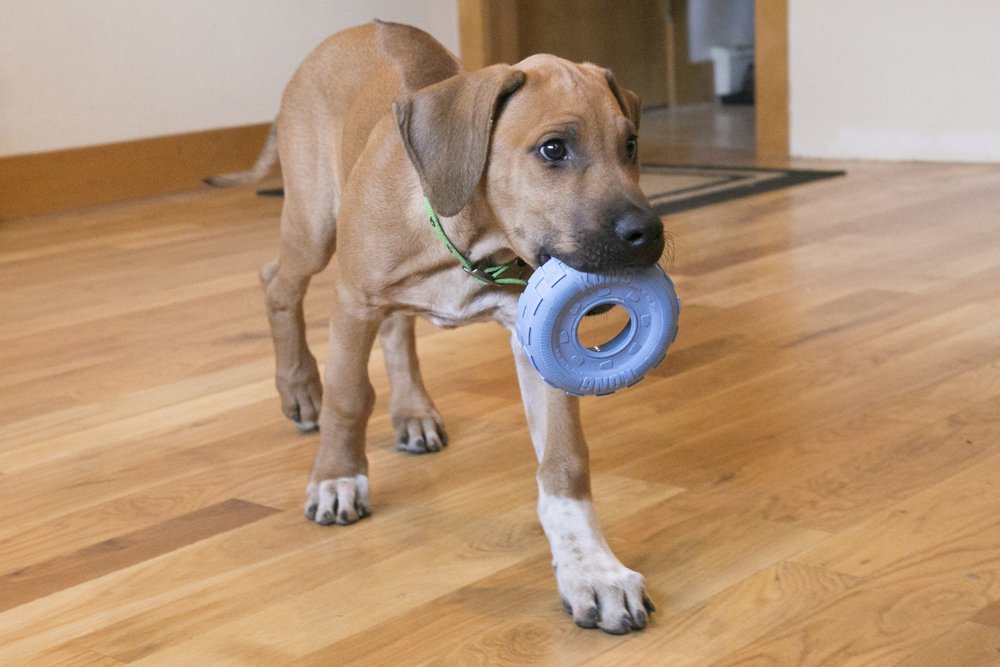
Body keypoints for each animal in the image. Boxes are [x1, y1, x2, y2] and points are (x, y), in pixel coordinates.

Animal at [211, 20, 664, 636]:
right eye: (553, 149)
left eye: (631, 146)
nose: (649, 234)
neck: (467, 237)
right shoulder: (353, 301)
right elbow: (349, 398)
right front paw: (336, 477)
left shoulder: (534, 340)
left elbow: (565, 460)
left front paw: (593, 569)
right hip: (311, 223)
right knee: (276, 282)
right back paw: (300, 389)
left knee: (396, 329)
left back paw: (413, 412)